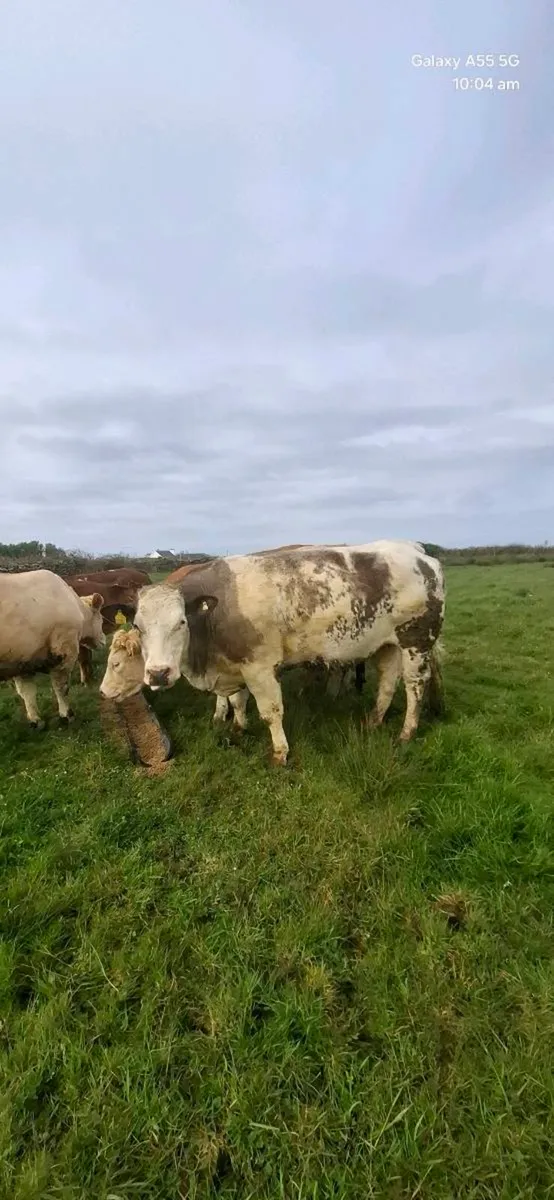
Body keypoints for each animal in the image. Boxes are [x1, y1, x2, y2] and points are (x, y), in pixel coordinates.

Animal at [0, 569, 105, 728]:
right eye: (101, 619)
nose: (104, 640)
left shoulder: (21, 660)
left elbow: (27, 692)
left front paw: (35, 720)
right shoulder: (64, 650)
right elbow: (61, 687)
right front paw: (67, 715)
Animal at [124, 541, 445, 764]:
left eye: (181, 622)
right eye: (138, 626)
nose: (158, 674)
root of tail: (415, 550)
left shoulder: (259, 667)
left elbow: (271, 712)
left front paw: (280, 752)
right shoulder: (235, 665)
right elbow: (238, 701)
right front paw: (239, 727)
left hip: (417, 641)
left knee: (415, 687)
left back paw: (407, 733)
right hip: (386, 644)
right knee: (388, 683)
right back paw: (374, 721)